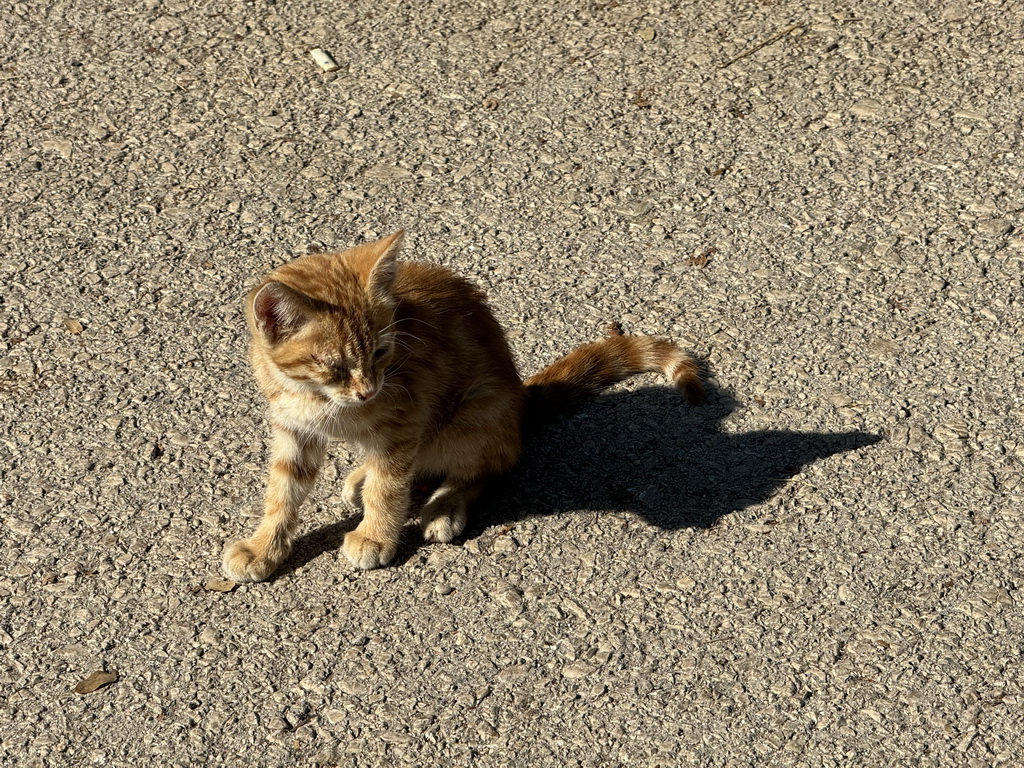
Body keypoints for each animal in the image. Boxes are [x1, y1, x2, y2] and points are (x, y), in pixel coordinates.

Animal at [224, 231, 704, 581]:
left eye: (381, 353)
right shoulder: (294, 432)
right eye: (334, 365)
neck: (315, 398)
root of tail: (520, 398)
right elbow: (282, 494)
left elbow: (388, 487)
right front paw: (264, 547)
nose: (368, 391)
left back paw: (445, 504)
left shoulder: (403, 422)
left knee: (487, 465)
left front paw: (376, 537)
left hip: (474, 414)